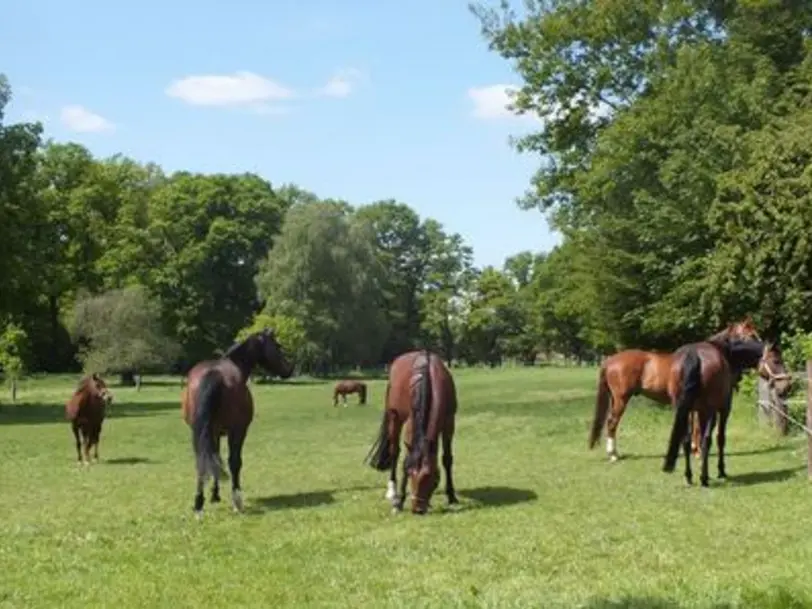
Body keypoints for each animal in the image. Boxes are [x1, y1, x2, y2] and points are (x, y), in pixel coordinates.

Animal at [180, 328, 292, 516]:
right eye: (277, 346)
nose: (289, 369)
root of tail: (213, 374)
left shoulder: (213, 432)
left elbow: (215, 459)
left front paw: (214, 495)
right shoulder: (238, 430)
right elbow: (233, 461)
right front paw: (234, 499)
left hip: (199, 432)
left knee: (201, 461)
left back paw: (198, 504)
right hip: (235, 431)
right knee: (233, 462)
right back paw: (236, 500)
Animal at [366, 350, 460, 516]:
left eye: (434, 479)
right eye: (410, 474)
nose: (418, 509)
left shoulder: (449, 422)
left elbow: (447, 459)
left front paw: (452, 496)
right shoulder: (411, 425)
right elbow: (405, 460)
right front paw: (399, 503)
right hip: (394, 417)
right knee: (395, 452)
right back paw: (392, 491)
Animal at [588, 318, 760, 460]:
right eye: (751, 335)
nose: (762, 351)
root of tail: (610, 360)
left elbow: (693, 426)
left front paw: (693, 449)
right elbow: (697, 427)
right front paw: (697, 451)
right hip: (621, 399)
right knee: (612, 423)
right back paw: (613, 455)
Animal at [664, 334, 788, 486]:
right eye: (776, 361)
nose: (786, 386)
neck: (727, 354)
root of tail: (694, 355)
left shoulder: (695, 411)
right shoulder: (724, 409)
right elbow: (720, 438)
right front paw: (720, 471)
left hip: (683, 409)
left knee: (686, 440)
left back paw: (689, 476)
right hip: (709, 410)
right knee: (706, 440)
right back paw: (704, 478)